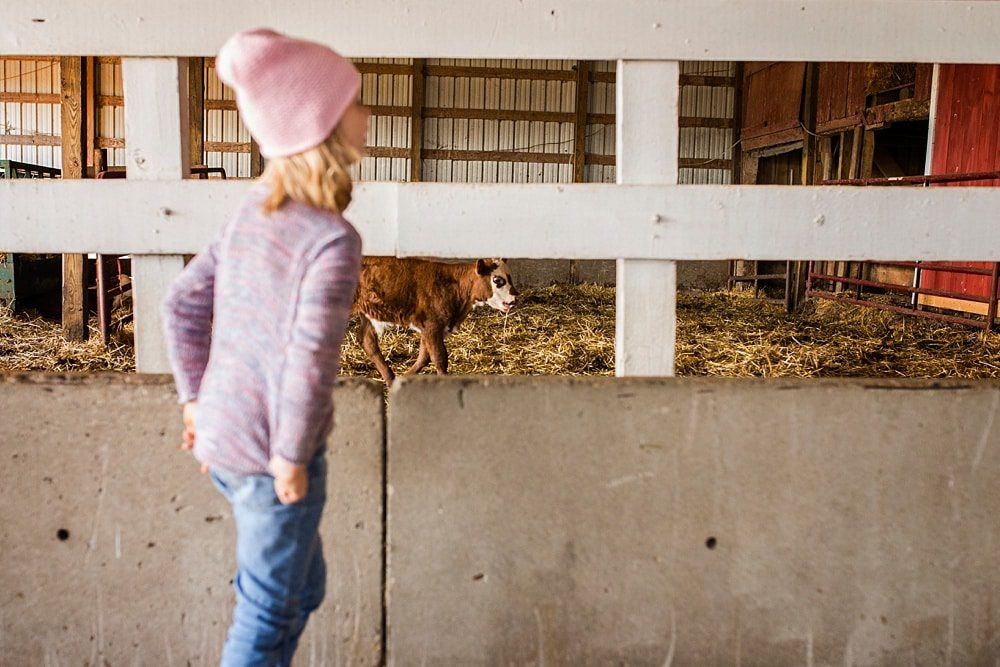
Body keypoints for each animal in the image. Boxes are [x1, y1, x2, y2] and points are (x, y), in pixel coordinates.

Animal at [352, 260, 520, 386]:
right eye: (497, 280)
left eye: (510, 277)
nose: (515, 298)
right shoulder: (432, 326)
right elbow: (439, 358)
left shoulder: (430, 329)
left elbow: (424, 357)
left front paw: (404, 377)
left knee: (367, 340)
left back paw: (390, 378)